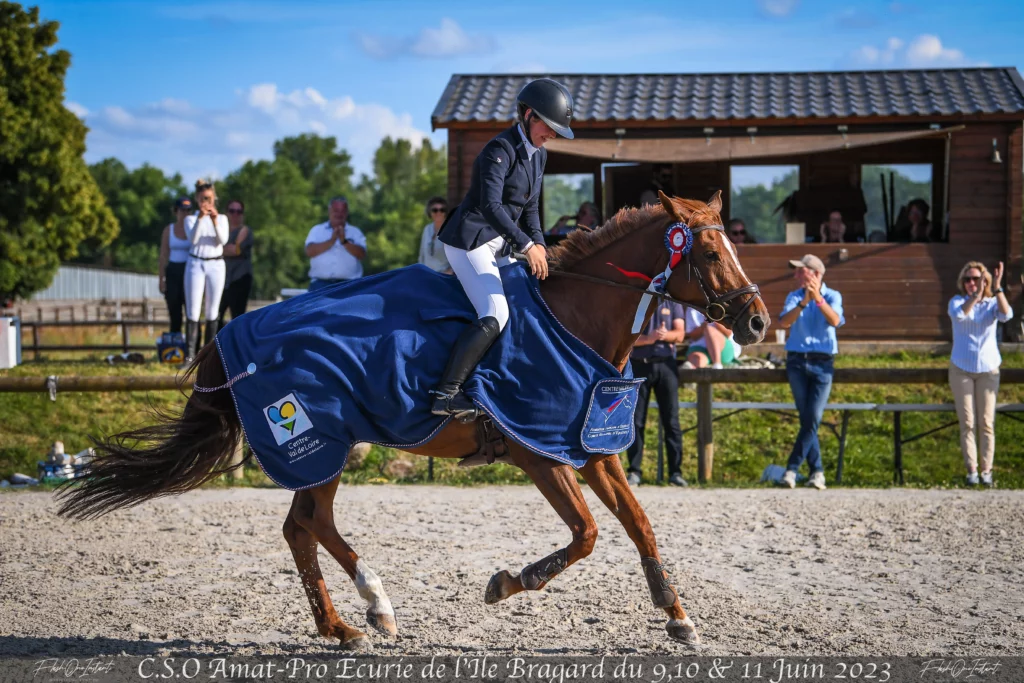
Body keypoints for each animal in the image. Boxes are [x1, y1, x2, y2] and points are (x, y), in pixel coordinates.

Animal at [54, 193, 761, 651]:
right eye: (707, 251)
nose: (755, 322)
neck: (572, 319)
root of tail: (232, 333)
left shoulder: (588, 445)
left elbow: (639, 525)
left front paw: (678, 617)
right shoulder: (537, 452)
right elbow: (586, 533)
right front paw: (507, 584)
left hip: (326, 447)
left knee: (300, 526)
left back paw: (340, 626)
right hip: (322, 441)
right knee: (311, 522)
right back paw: (374, 605)